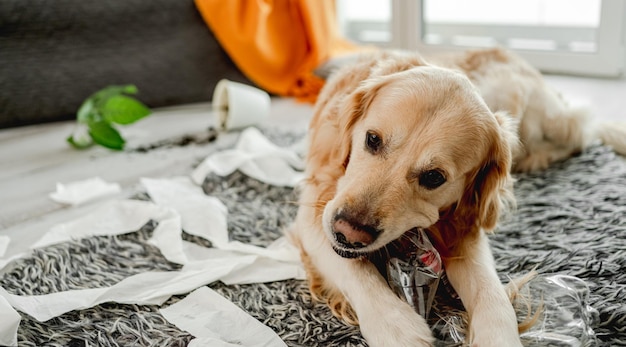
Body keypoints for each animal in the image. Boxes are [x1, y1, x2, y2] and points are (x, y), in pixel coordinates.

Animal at [288, 49, 624, 347]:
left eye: (434, 177)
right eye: (372, 139)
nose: (349, 233)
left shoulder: (466, 226)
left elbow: (491, 291)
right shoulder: (316, 211)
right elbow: (352, 267)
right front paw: (394, 325)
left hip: (552, 121)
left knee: (585, 128)